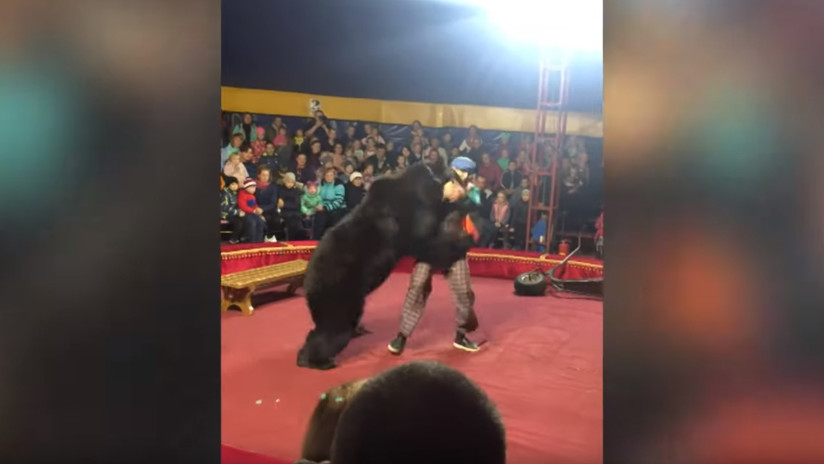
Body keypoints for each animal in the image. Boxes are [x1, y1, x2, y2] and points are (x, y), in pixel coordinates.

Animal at [298, 160, 466, 370]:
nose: (460, 183)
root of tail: (308, 279)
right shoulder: (413, 216)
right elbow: (426, 240)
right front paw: (459, 244)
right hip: (338, 292)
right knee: (335, 328)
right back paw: (319, 360)